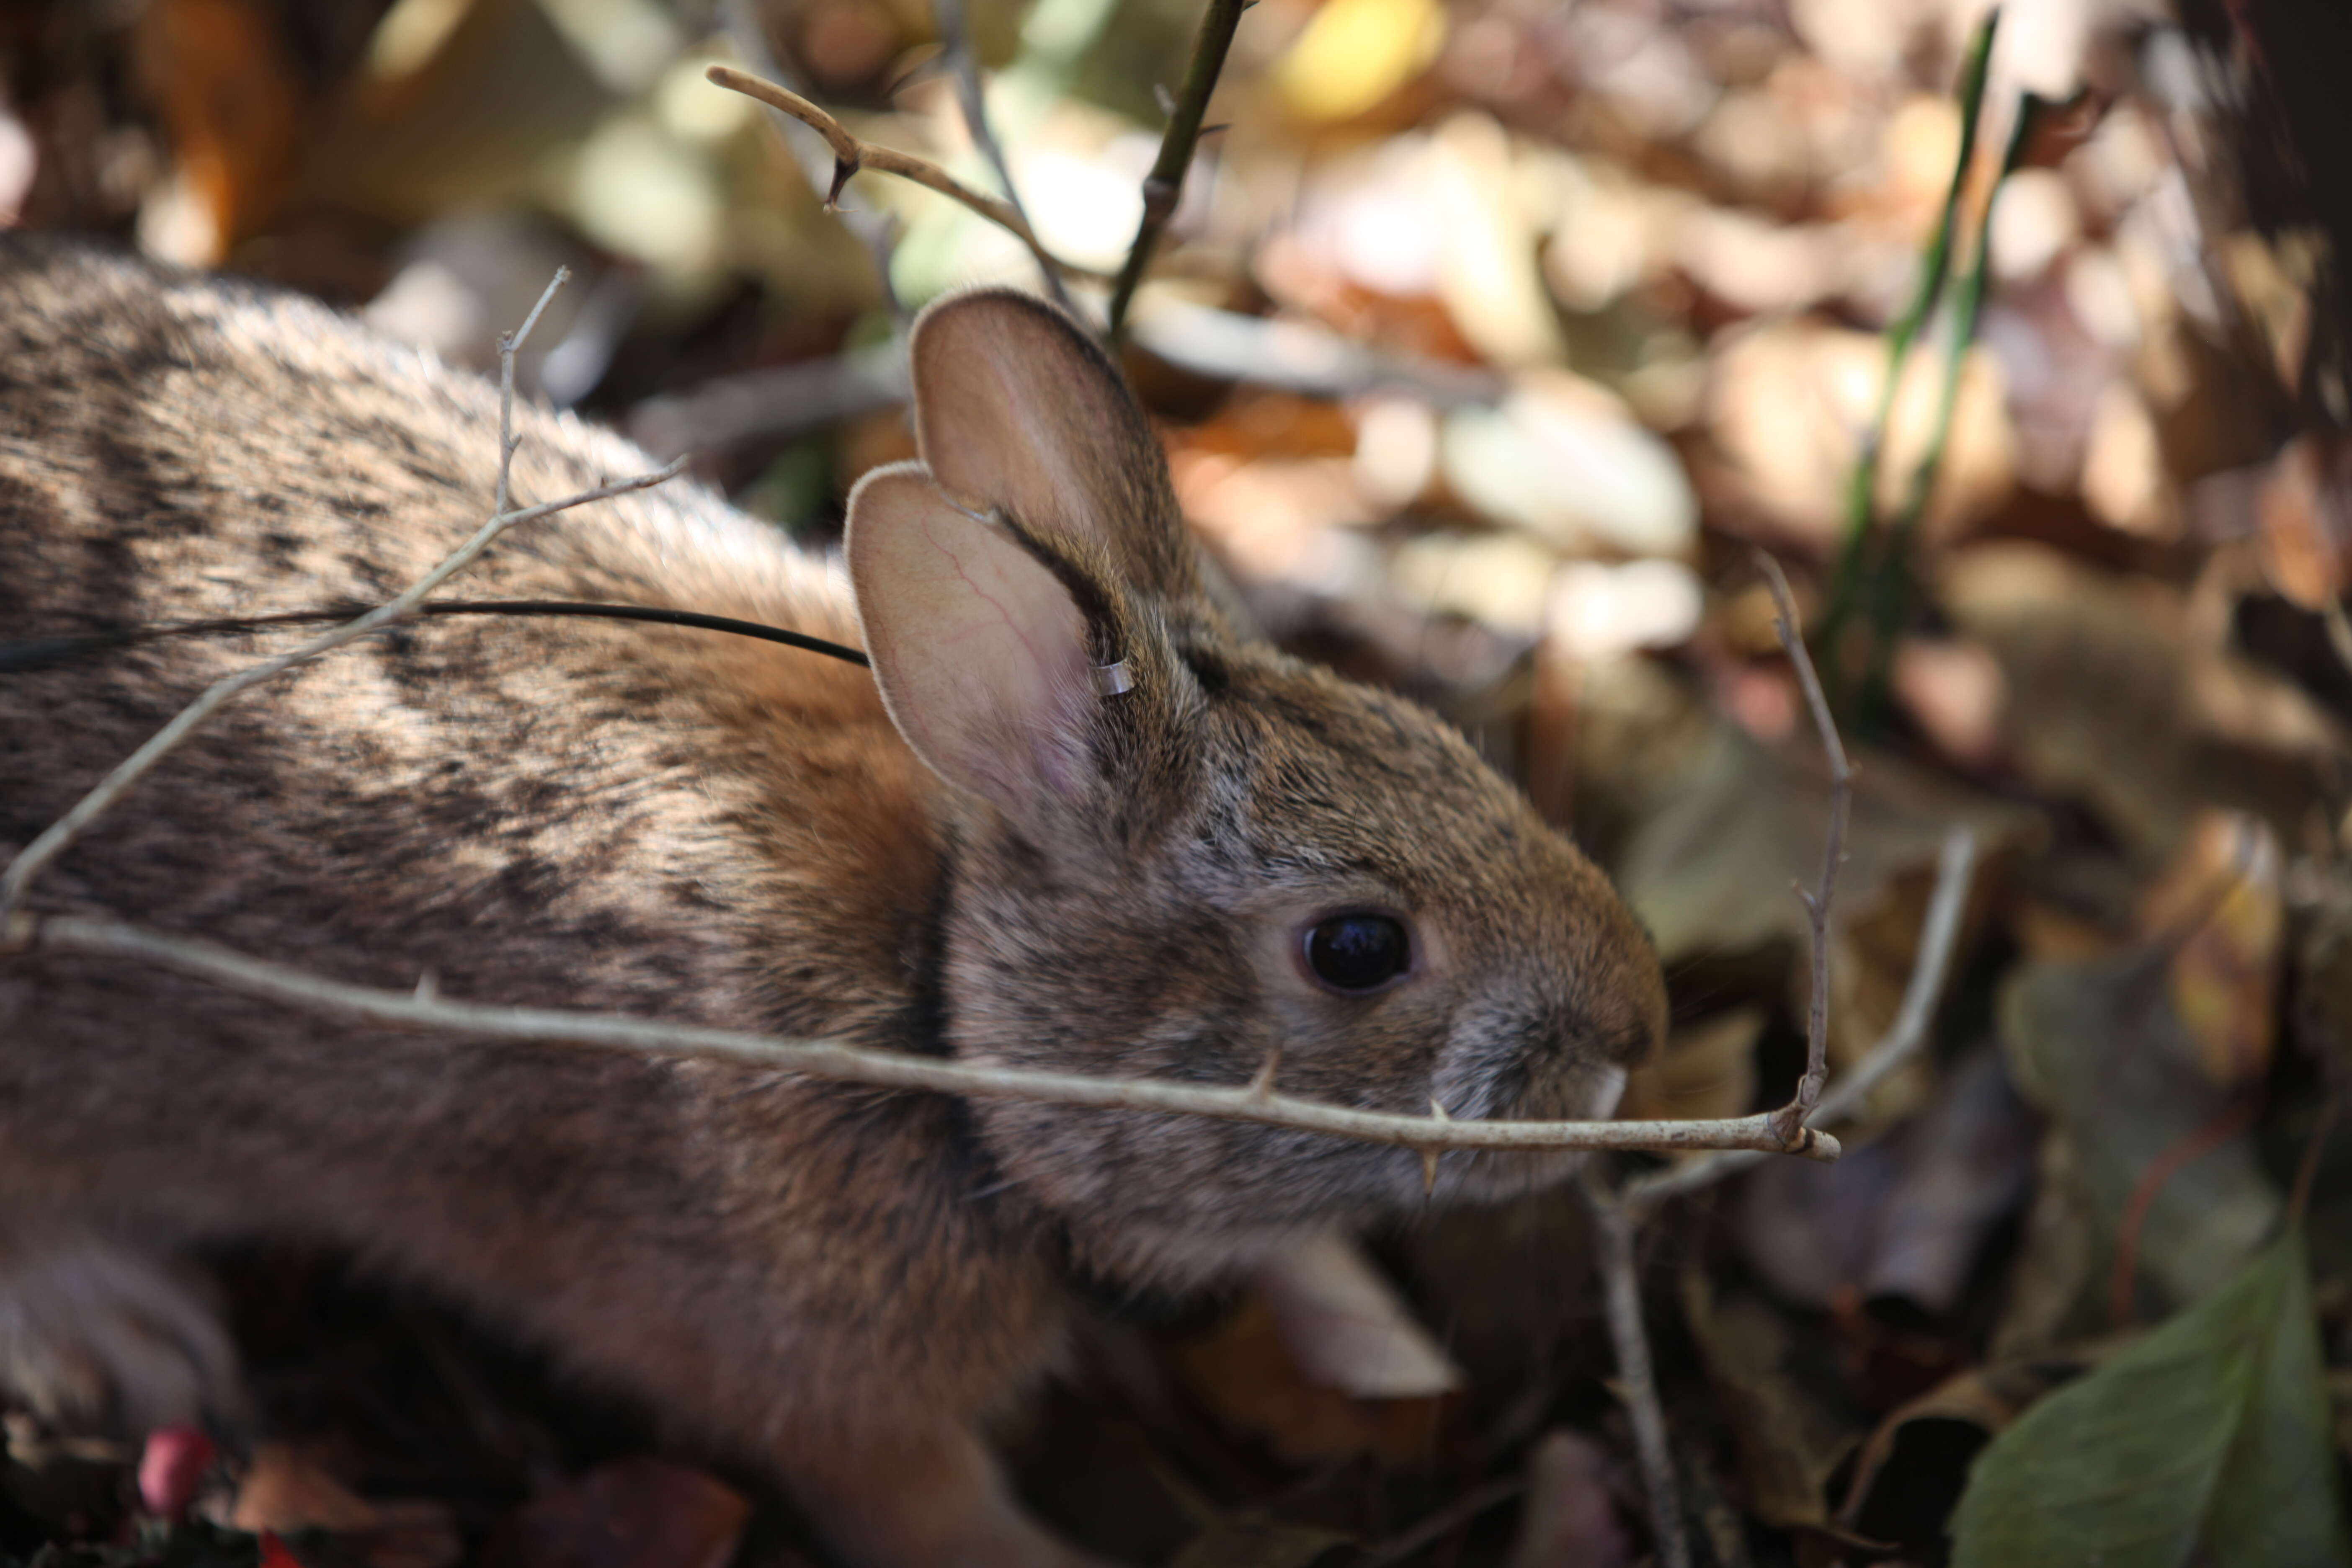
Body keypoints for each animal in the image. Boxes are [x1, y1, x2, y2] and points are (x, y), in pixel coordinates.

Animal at [0, 236, 1674, 1568]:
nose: (1633, 1036)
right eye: (1355, 949)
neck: (942, 1013)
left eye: (1437, 740)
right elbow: (923, 1512)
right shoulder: (824, 1381)